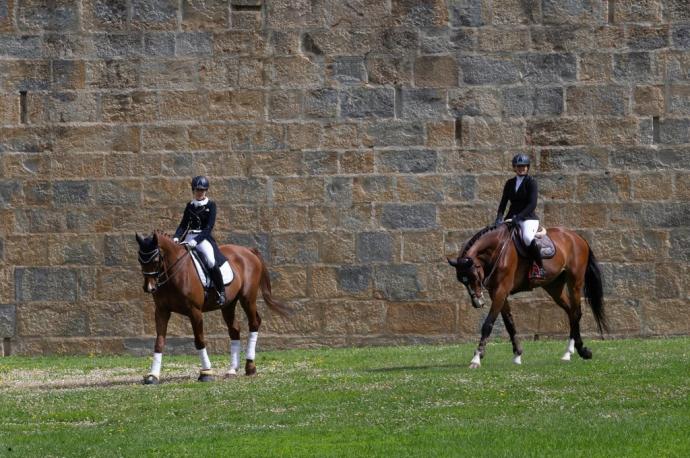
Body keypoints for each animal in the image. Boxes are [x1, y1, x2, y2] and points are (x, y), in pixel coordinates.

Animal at [136, 231, 292, 384]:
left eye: (156, 260)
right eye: (139, 260)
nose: (149, 287)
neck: (174, 273)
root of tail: (248, 250)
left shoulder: (195, 311)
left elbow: (199, 341)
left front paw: (206, 373)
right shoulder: (161, 311)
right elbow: (159, 342)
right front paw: (153, 375)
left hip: (248, 299)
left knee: (254, 323)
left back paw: (250, 367)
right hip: (228, 304)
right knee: (234, 330)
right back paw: (232, 370)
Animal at [446, 222, 600, 368]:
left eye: (474, 276)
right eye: (462, 280)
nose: (478, 303)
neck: (498, 249)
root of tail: (578, 237)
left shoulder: (501, 291)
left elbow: (488, 323)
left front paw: (477, 358)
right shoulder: (497, 293)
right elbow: (509, 323)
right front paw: (517, 355)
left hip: (575, 283)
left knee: (576, 312)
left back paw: (576, 351)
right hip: (554, 287)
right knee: (570, 312)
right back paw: (573, 351)